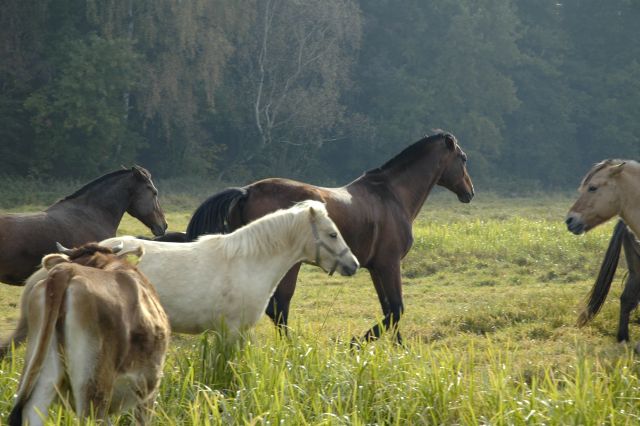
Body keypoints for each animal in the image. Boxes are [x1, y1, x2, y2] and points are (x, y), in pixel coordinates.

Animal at [182, 131, 472, 344]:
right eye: (463, 158)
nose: (469, 192)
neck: (391, 195)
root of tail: (246, 191)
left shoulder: (376, 267)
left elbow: (389, 309)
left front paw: (397, 348)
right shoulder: (390, 264)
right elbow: (397, 308)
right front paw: (357, 343)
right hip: (285, 265)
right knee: (278, 308)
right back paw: (290, 347)